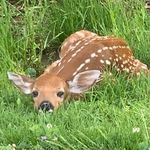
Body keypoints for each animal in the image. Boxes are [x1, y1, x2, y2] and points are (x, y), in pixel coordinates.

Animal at [7, 30, 149, 112]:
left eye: (60, 93)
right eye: (35, 93)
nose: (45, 105)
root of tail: (120, 40)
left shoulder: (106, 78)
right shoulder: (52, 66)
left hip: (130, 67)